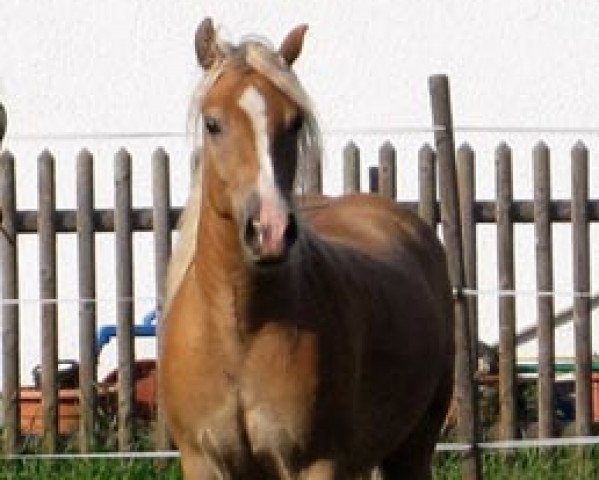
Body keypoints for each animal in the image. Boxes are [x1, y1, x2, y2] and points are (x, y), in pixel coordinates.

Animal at [159, 16, 454, 478]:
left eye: (294, 121)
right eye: (212, 123)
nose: (270, 230)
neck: (241, 329)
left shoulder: (317, 463)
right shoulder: (203, 461)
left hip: (413, 447)